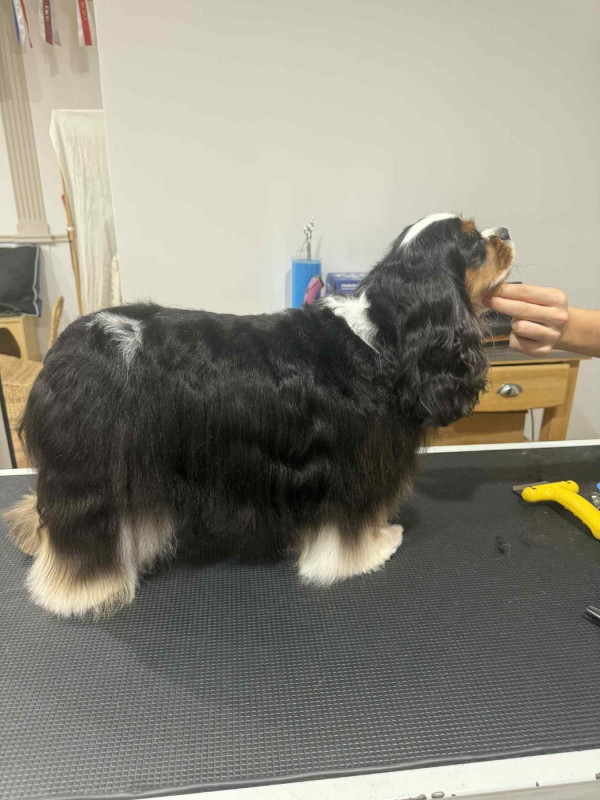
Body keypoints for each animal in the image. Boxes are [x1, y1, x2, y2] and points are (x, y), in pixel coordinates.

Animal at [6, 214, 514, 617]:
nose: (506, 232)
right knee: (79, 537)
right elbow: (349, 526)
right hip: (90, 473)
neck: (385, 334)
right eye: (473, 241)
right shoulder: (350, 467)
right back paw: (78, 592)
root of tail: (61, 350)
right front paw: (372, 549)